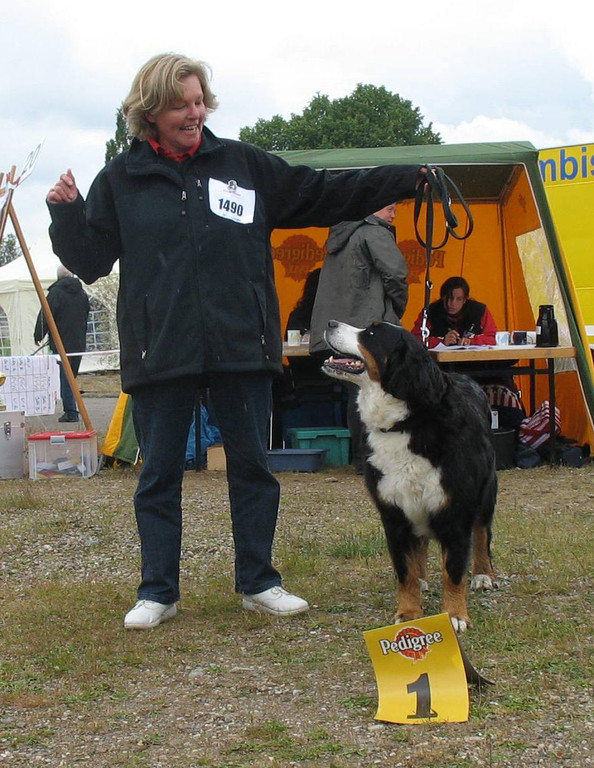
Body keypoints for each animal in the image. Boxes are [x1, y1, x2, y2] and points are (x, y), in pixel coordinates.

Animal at [320, 320, 494, 632]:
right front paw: (409, 612)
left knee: (482, 533)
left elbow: (454, 572)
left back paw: (483, 575)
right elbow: (405, 571)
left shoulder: (456, 512)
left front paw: (455, 615)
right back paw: (424, 579)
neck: (404, 424)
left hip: (486, 494)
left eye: (371, 333)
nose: (330, 323)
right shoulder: (393, 514)